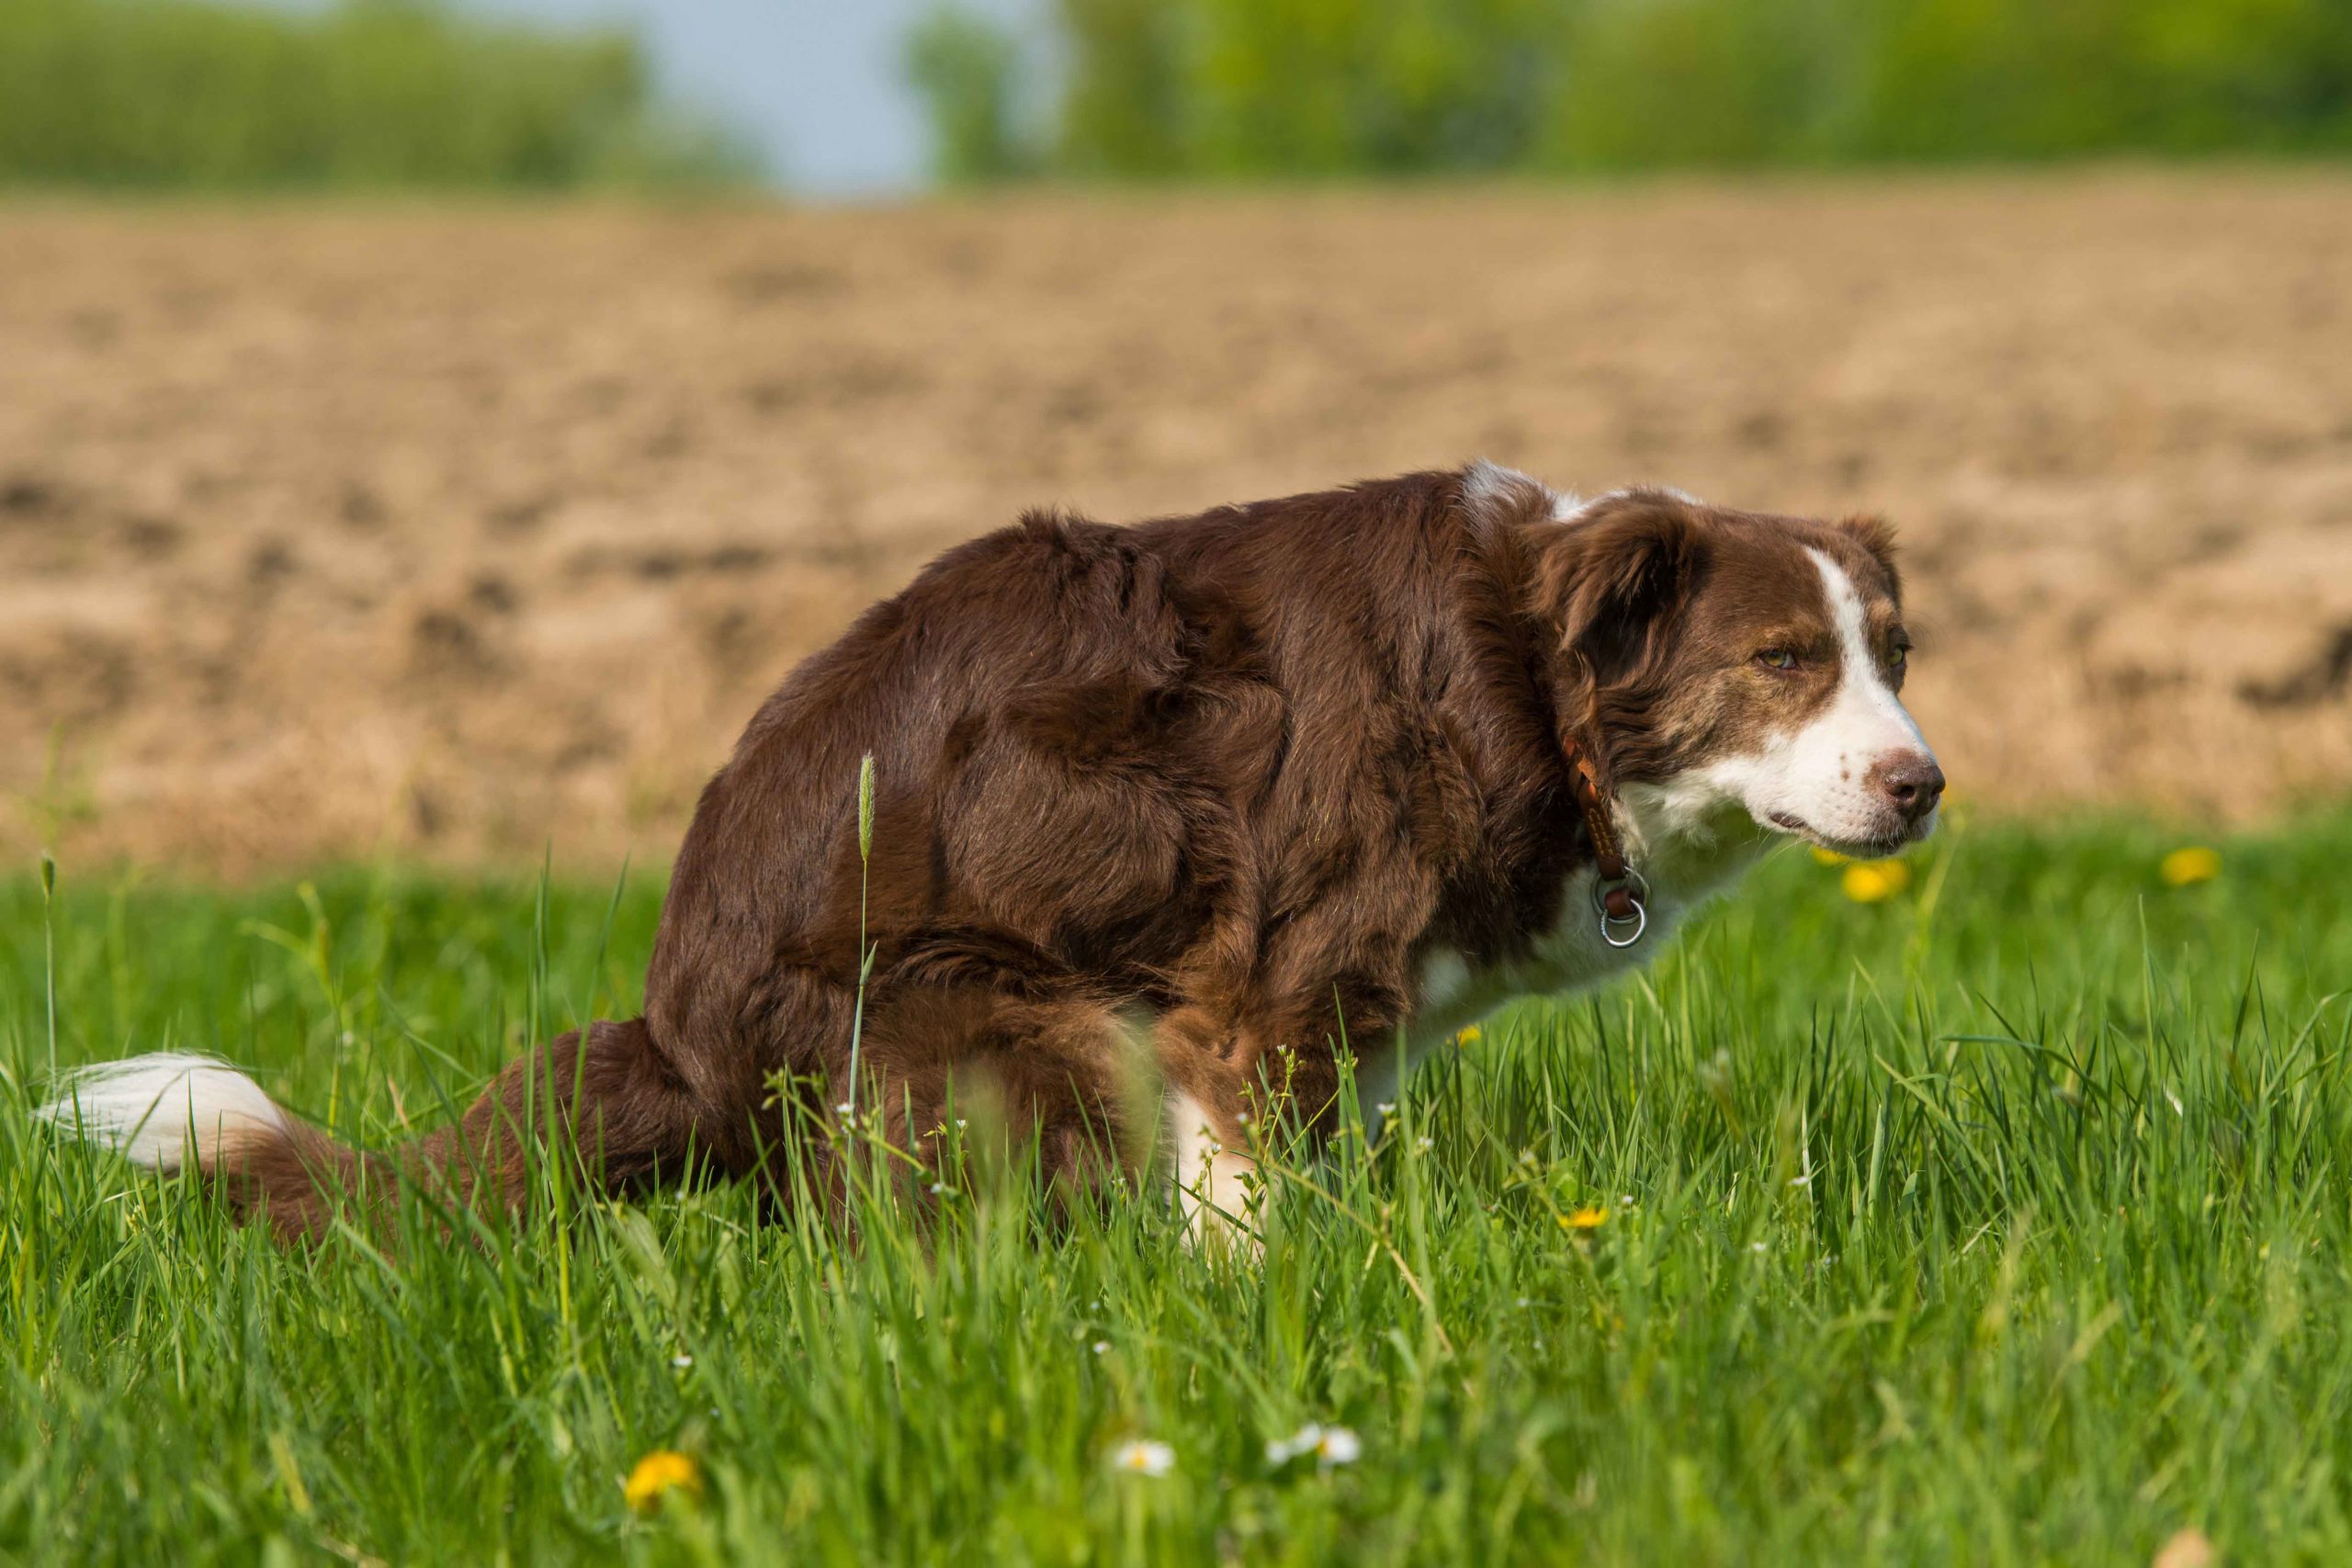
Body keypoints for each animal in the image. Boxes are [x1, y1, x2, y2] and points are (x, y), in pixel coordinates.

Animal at [41, 463, 1947, 1241]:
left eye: (1895, 653)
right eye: (1783, 660)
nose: (1923, 784)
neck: (1533, 683)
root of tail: (676, 1032)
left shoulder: (1353, 1025)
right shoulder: (1261, 988)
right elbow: (1247, 1210)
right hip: (1016, 1018)